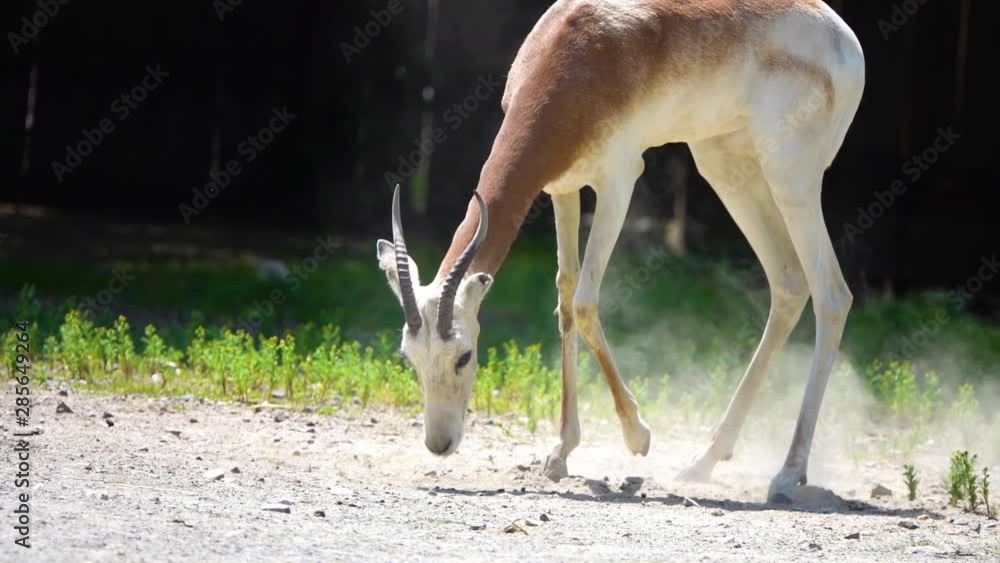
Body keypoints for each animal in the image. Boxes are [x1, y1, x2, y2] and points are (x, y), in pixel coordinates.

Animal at [377, 0, 864, 504]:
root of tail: (839, 31)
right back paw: (704, 462)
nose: (439, 443)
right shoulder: (562, 186)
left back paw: (787, 473)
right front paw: (561, 451)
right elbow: (564, 298)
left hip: (791, 178)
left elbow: (585, 303)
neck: (578, 55)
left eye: (464, 355)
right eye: (409, 358)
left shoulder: (617, 179)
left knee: (832, 294)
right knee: (789, 283)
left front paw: (638, 437)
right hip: (725, 164)